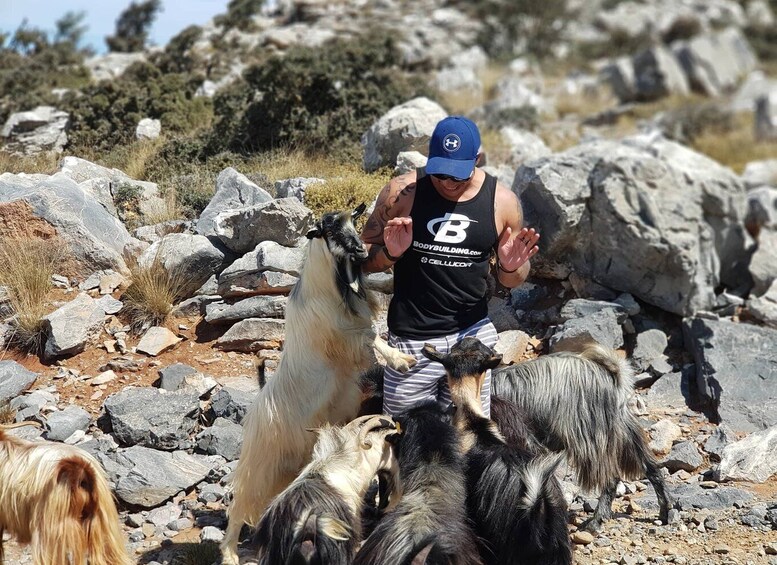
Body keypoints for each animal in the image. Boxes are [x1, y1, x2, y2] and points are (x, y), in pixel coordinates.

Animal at [488, 340, 668, 528]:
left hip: (589, 436)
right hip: (624, 430)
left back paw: (596, 521)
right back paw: (665, 512)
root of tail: (611, 375)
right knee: (650, 467)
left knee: (610, 478)